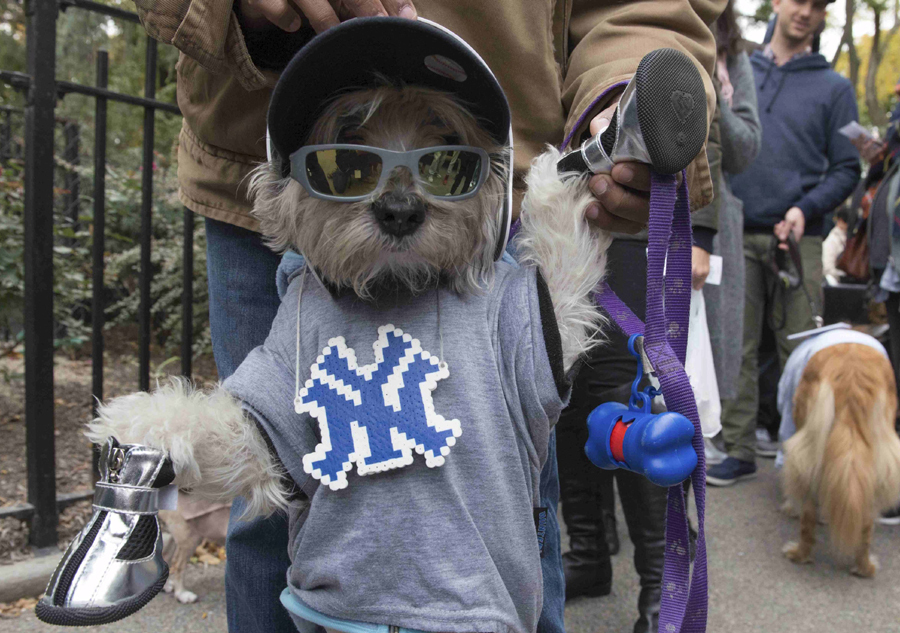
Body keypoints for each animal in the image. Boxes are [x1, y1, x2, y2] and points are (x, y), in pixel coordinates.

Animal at [780, 344, 900, 576]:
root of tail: (852, 376)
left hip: (808, 450)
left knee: (808, 516)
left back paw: (799, 554)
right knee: (866, 521)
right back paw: (864, 568)